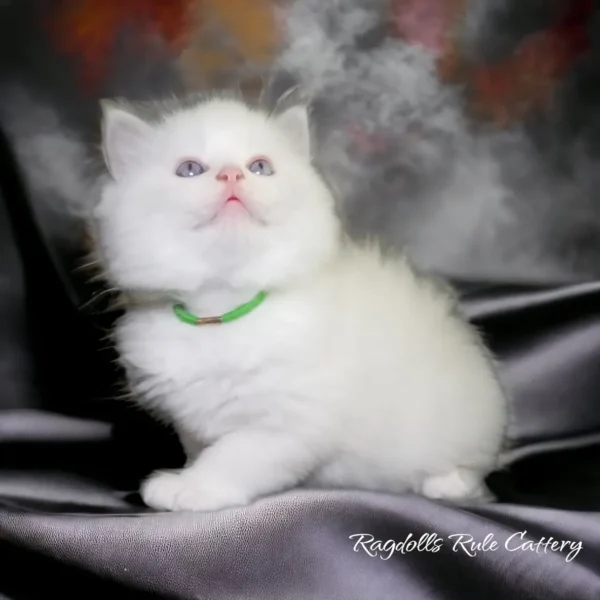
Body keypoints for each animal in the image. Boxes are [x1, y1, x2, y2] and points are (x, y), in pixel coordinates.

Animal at [92, 94, 506, 510]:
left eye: (260, 167)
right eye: (190, 169)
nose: (232, 175)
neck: (223, 311)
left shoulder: (288, 424)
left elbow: (232, 456)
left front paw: (192, 488)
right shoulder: (190, 419)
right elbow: (200, 449)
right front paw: (185, 475)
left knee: (470, 471)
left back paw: (444, 485)